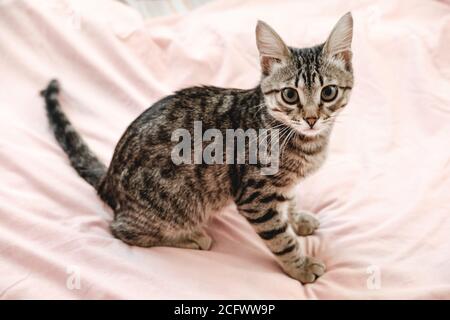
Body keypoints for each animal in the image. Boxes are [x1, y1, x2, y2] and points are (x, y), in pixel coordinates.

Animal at [40, 12, 354, 284]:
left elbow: (289, 202)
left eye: (328, 92)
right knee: (120, 230)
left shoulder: (282, 186)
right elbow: (280, 238)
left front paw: (297, 219)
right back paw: (190, 237)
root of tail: (109, 180)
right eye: (290, 95)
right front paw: (300, 267)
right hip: (174, 207)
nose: (311, 119)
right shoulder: (255, 196)